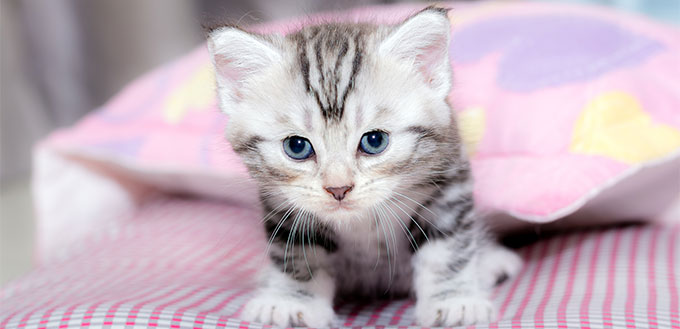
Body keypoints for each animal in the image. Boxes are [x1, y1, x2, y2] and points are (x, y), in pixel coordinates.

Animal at [206, 7, 520, 326]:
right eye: (297, 146)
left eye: (374, 141)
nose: (338, 188)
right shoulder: (284, 205)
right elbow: (298, 253)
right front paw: (291, 300)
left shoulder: (447, 183)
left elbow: (447, 248)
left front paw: (454, 300)